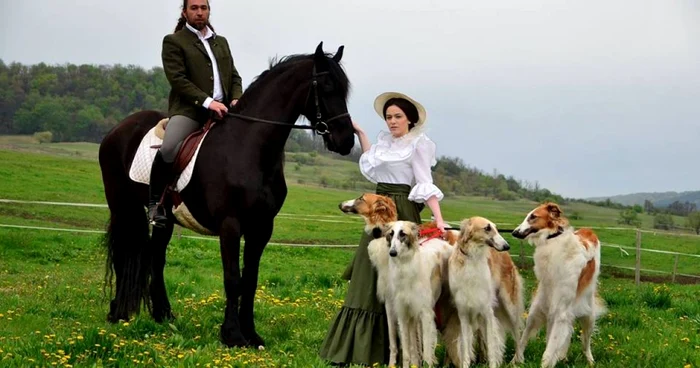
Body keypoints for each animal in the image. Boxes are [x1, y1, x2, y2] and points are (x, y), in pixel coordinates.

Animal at [97, 42, 356, 348]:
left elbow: (250, 279)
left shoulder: (261, 227)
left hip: (164, 219)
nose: (346, 141)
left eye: (344, 90)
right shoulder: (230, 225)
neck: (249, 146)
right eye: (326, 87)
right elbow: (233, 278)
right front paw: (232, 334)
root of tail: (117, 129)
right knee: (123, 253)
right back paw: (118, 313)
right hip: (122, 206)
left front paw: (251, 333)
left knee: (155, 257)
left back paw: (163, 314)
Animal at [448, 216, 524, 368]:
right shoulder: (463, 313)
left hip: (510, 306)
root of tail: (507, 255)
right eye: (487, 228)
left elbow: (491, 345)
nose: (507, 246)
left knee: (517, 332)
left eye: (496, 227)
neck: (473, 259)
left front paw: (493, 364)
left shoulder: (487, 311)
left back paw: (517, 360)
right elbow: (466, 348)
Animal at [512, 203, 604, 366]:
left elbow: (550, 349)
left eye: (533, 217)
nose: (514, 232)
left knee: (585, 342)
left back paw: (590, 361)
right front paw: (515, 361)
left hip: (588, 316)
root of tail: (589, 231)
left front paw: (546, 363)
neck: (552, 241)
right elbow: (524, 340)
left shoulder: (561, 310)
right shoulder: (541, 308)